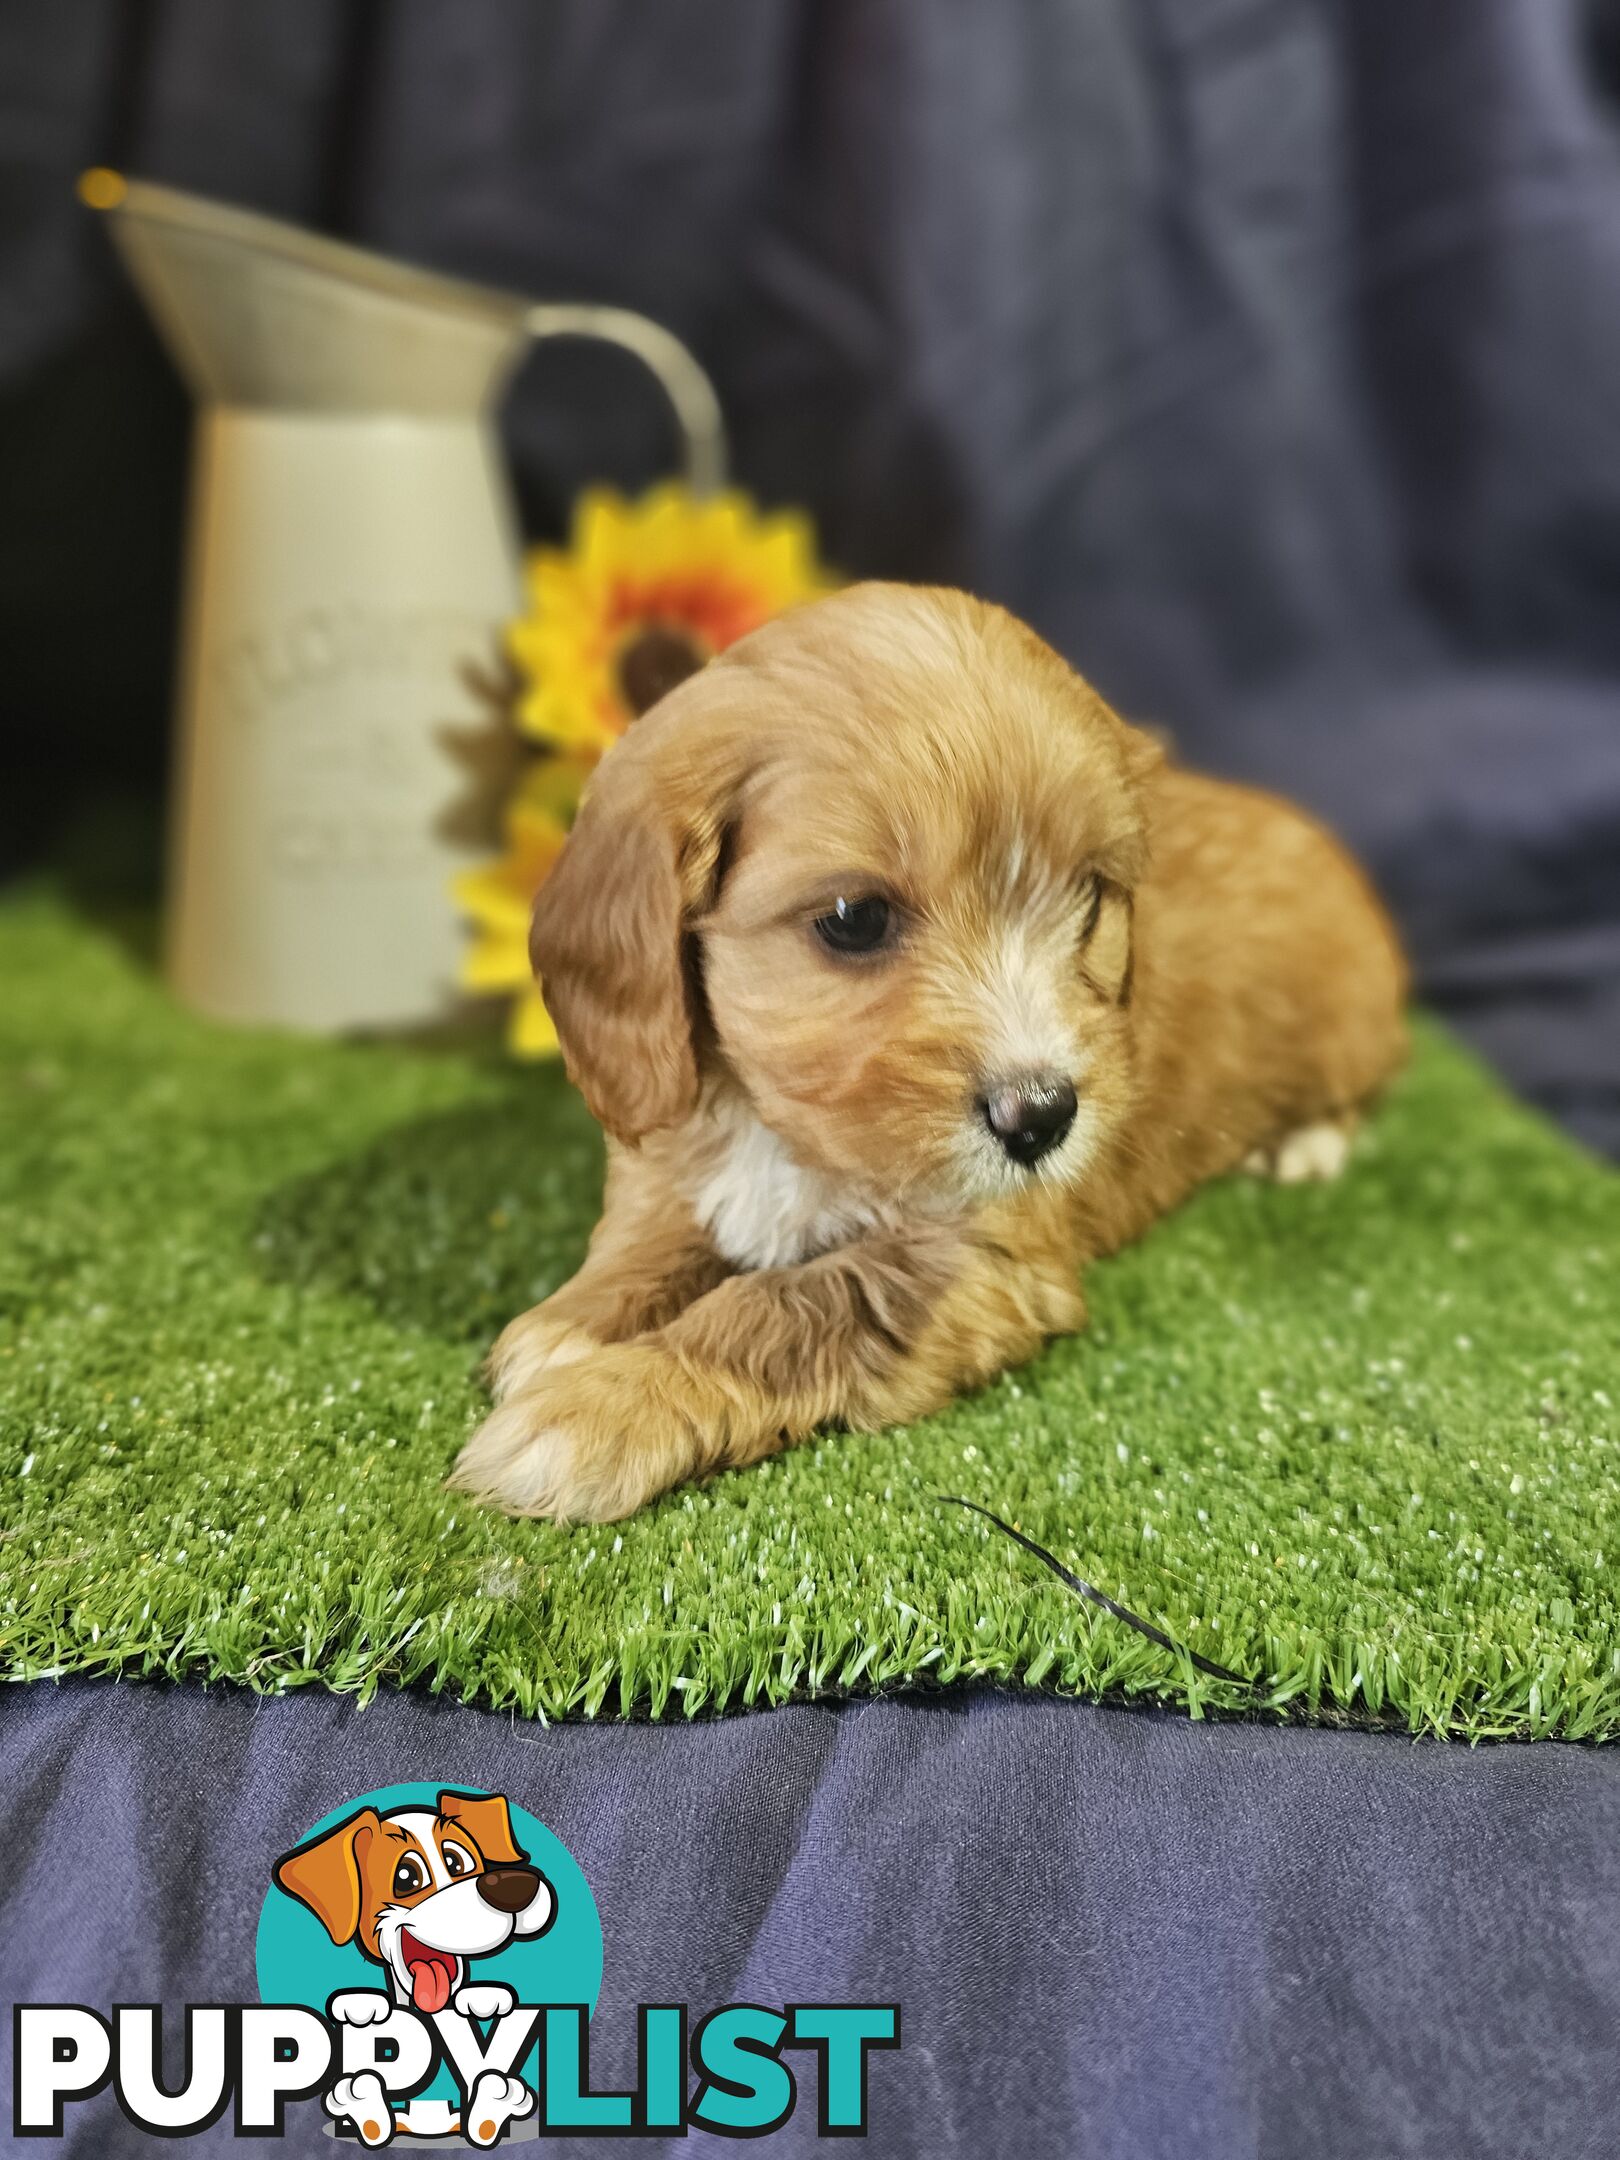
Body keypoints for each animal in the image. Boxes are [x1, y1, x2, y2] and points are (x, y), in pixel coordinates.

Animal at [453, 578, 1408, 1520]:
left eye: (1090, 896)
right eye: (853, 918)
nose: (1043, 1119)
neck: (785, 1132)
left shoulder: (982, 1256)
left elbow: (792, 1301)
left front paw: (599, 1407)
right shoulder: (670, 1136)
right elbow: (650, 1240)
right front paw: (572, 1326)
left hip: (1348, 1024)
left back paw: (1302, 1145)